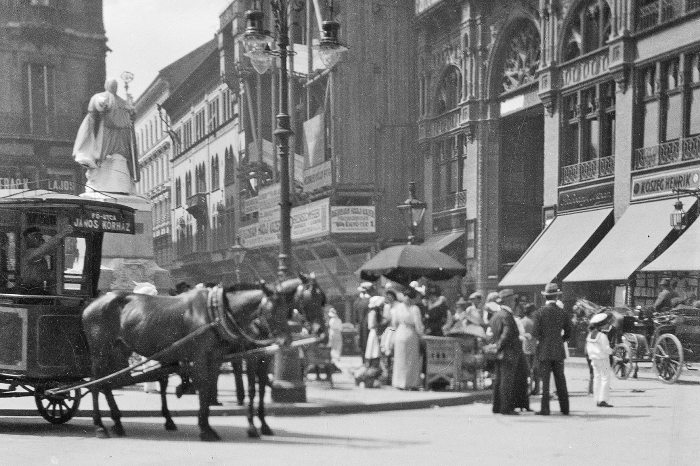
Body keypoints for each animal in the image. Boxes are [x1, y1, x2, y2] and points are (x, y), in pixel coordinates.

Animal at [82, 278, 300, 442]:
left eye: (287, 309)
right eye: (272, 310)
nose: (287, 340)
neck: (216, 311)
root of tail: (91, 304)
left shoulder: (215, 358)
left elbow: (208, 388)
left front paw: (207, 425)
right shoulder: (201, 357)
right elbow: (204, 388)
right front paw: (205, 429)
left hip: (118, 350)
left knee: (107, 383)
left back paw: (117, 422)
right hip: (99, 351)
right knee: (96, 384)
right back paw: (99, 426)